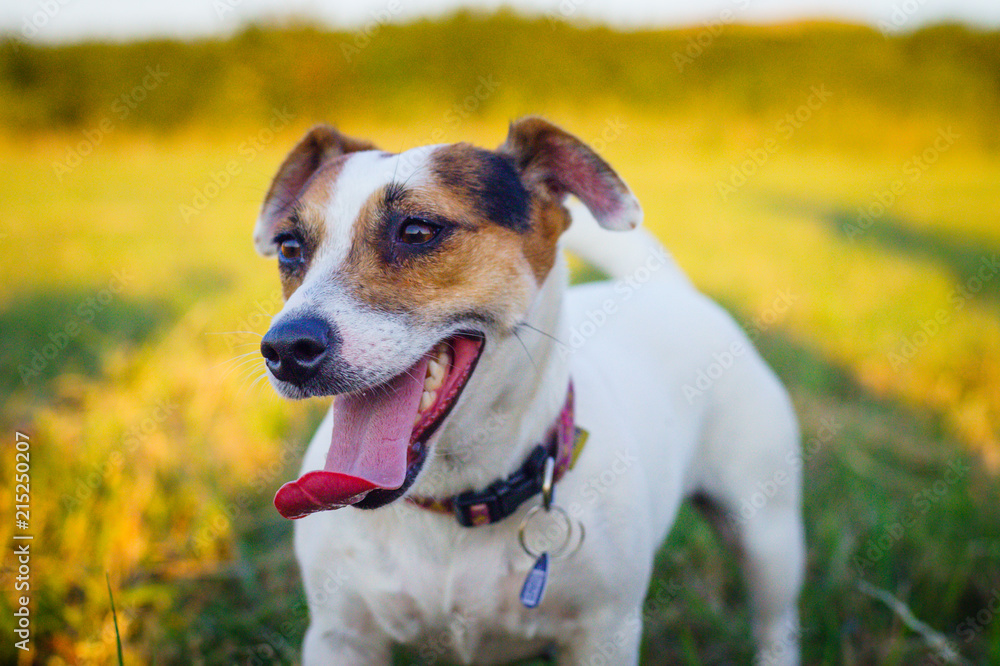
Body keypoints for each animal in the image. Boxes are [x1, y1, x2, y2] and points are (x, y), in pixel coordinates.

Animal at [256, 116, 804, 660]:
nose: (286, 349)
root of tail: (666, 290)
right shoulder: (340, 636)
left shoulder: (604, 633)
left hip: (768, 534)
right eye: (289, 247)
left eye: (416, 230)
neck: (453, 498)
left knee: (776, 622)